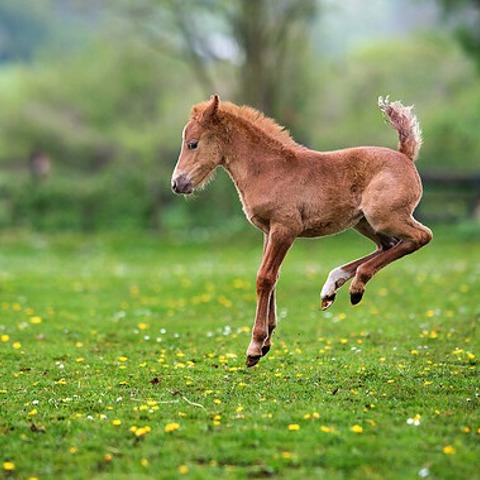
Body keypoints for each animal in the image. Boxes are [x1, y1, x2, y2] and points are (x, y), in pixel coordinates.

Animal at [172, 94, 432, 368]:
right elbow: (272, 277)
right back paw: (333, 286)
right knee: (389, 244)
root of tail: (405, 156)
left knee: (421, 236)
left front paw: (255, 347)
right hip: (363, 222)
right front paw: (266, 342)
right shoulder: (268, 231)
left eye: (192, 144)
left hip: (383, 217)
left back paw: (355, 286)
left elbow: (264, 278)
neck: (269, 170)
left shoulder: (285, 229)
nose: (177, 184)